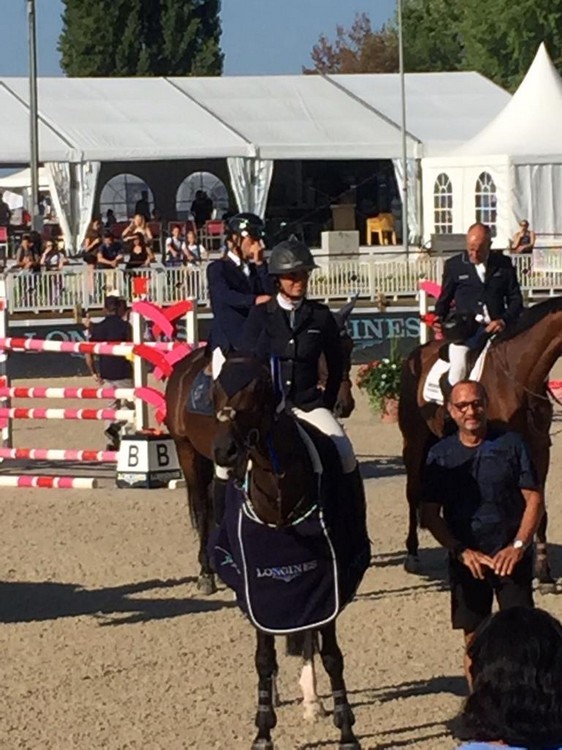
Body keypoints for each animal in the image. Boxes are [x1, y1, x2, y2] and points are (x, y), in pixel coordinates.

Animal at [164, 302, 354, 596]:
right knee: (203, 508)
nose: (344, 405)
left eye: (351, 347)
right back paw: (206, 572)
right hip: (188, 452)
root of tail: (183, 367)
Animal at [210, 354, 364, 750]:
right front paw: (263, 731)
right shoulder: (258, 589)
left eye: (262, 387)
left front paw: (346, 731)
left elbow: (331, 655)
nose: (224, 451)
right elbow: (264, 658)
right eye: (214, 389)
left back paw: (312, 700)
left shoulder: (327, 586)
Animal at [398, 296, 560, 592]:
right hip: (413, 441)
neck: (519, 375)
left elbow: (539, 506)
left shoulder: (540, 449)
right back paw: (413, 555)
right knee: (413, 492)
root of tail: (419, 352)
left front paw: (543, 572)